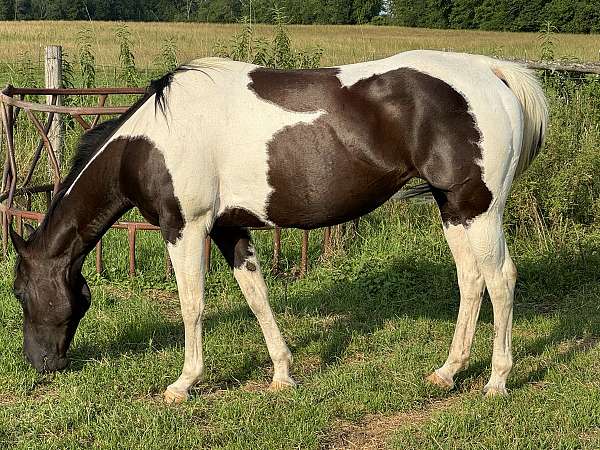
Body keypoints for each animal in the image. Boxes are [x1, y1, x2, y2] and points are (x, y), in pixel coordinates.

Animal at [9, 51, 548, 402]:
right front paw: (282, 374)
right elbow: (257, 298)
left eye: (18, 292)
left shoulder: (185, 227)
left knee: (500, 280)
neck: (151, 140)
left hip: (478, 209)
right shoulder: (229, 230)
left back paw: (497, 381)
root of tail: (491, 72)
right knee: (471, 281)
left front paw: (184, 383)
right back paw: (447, 373)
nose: (38, 364)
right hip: (452, 207)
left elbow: (191, 305)